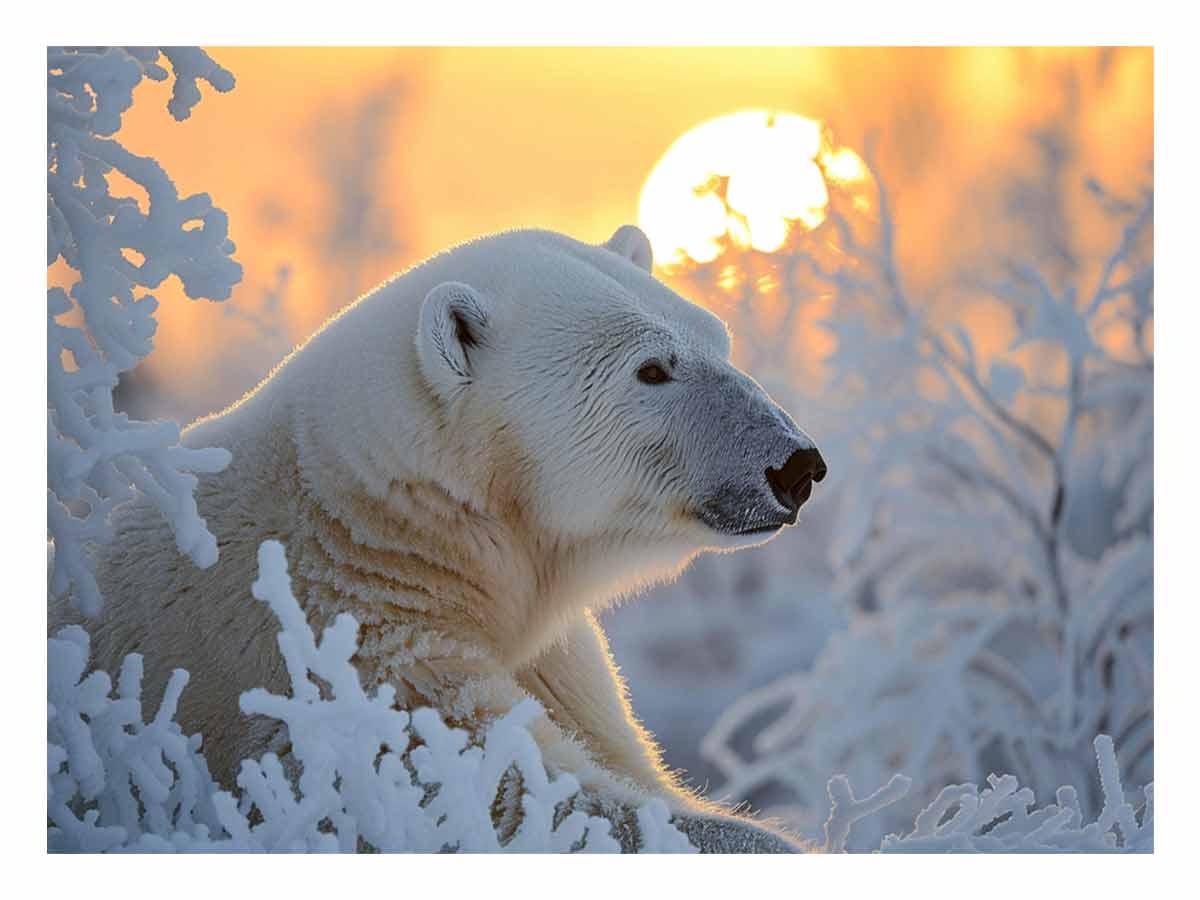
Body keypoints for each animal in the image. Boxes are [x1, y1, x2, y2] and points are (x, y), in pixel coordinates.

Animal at [52, 224, 827, 852]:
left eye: (717, 338)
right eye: (653, 369)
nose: (796, 465)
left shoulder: (549, 656)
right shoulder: (346, 654)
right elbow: (510, 802)